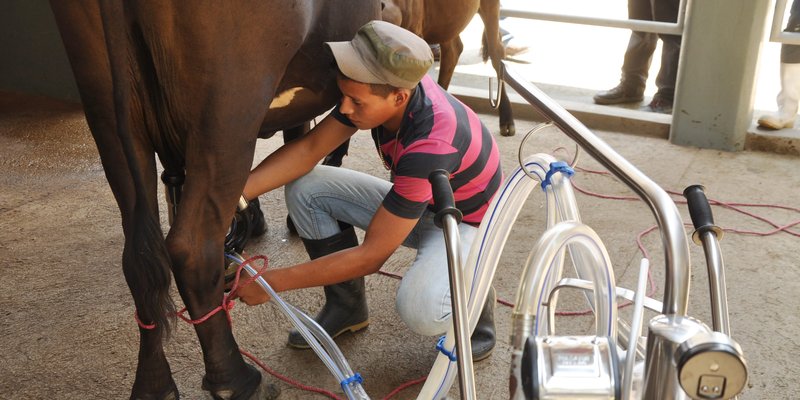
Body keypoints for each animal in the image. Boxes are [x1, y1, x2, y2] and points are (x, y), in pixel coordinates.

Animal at [50, 1, 382, 398]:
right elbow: (303, 138)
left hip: (109, 113)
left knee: (139, 258)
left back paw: (154, 384)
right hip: (227, 109)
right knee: (190, 249)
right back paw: (236, 381)